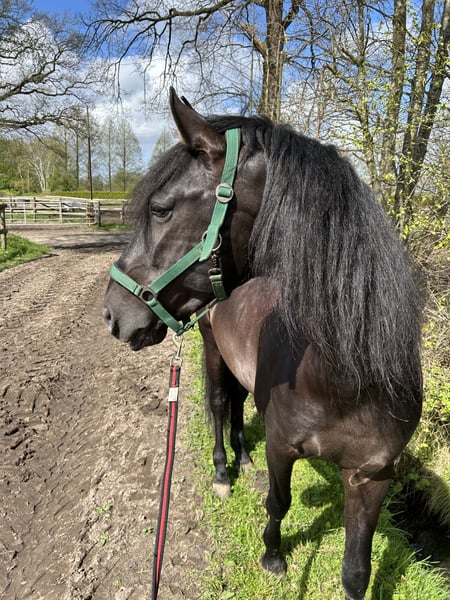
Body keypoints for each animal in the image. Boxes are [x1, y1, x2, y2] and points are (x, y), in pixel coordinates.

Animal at [103, 88, 422, 600]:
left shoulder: (372, 476)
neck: (347, 377)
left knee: (236, 401)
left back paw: (241, 455)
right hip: (212, 348)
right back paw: (222, 473)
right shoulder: (281, 446)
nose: (114, 314)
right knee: (218, 402)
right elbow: (279, 501)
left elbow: (357, 569)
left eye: (160, 209)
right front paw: (273, 556)